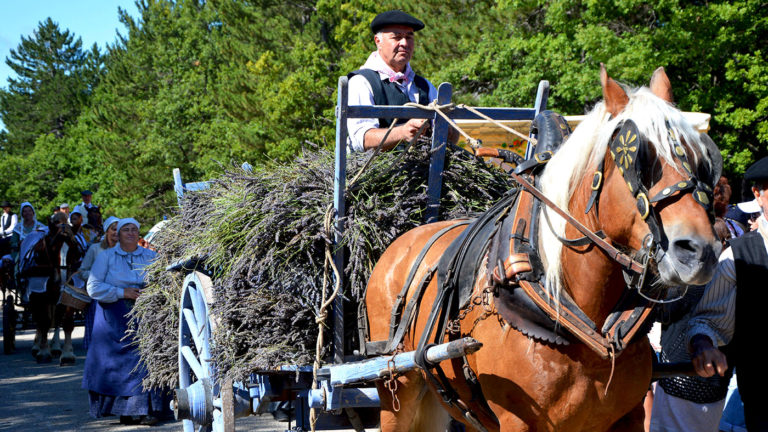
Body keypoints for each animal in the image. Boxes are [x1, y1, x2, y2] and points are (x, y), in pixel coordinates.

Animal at [364, 65, 724, 432]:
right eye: (640, 158)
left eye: (702, 159)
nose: (699, 251)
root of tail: (400, 243)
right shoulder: (517, 420)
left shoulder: (630, 416)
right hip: (398, 391)